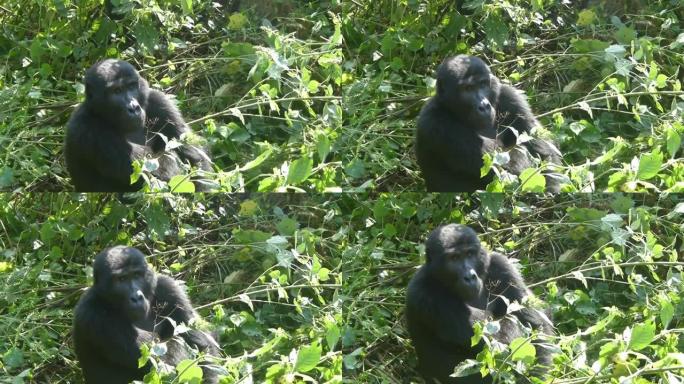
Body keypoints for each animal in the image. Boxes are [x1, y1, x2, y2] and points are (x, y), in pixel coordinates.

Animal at [66, 59, 214, 191]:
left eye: (131, 86)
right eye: (117, 91)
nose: (134, 108)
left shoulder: (158, 100)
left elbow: (194, 154)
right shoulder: (85, 128)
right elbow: (151, 168)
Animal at [72, 248, 218, 382]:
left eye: (137, 275)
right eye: (121, 279)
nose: (136, 297)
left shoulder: (168, 287)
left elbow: (203, 344)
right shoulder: (92, 313)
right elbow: (159, 358)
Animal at [404, 224, 552, 382]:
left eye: (469, 254)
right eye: (454, 258)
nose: (469, 277)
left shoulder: (501, 264)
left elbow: (535, 323)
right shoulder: (423, 292)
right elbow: (495, 338)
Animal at [414, 55, 564, 194]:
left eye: (482, 84)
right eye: (467, 88)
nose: (484, 106)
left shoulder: (509, 95)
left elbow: (543, 150)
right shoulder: (434, 122)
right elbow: (502, 166)